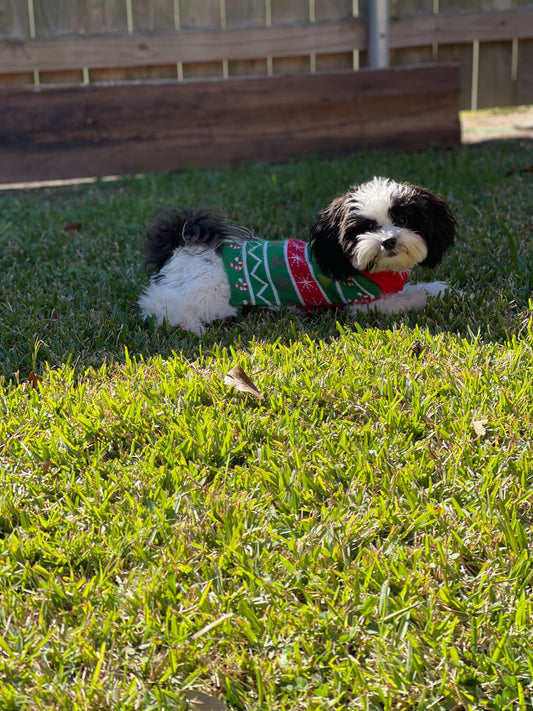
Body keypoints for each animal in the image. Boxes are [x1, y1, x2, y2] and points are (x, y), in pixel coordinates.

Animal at [136, 177, 454, 336]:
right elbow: (410, 298)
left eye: (402, 219)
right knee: (158, 302)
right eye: (365, 228)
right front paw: (430, 296)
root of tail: (184, 246)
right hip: (210, 296)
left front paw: (441, 289)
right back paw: (186, 324)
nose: (388, 240)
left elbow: (419, 288)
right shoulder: (364, 305)